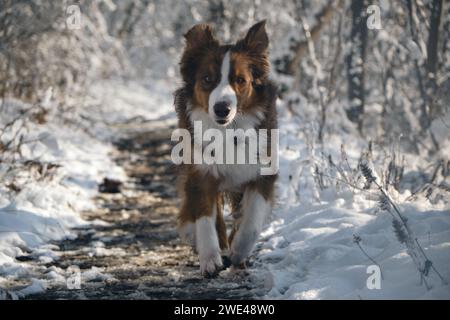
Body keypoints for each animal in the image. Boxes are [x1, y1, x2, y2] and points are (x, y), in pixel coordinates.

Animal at [173, 20, 276, 278]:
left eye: (240, 80)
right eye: (207, 78)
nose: (222, 109)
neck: (228, 131)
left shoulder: (263, 172)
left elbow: (251, 223)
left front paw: (238, 250)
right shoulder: (200, 173)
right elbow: (205, 218)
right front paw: (210, 259)